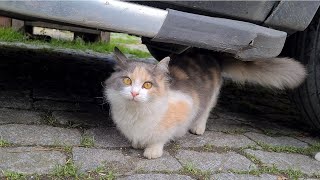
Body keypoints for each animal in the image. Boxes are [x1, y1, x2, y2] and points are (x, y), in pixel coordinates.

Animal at [104, 46, 306, 159]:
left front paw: (152, 150)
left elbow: (161, 137)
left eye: (147, 85)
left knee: (206, 111)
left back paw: (198, 128)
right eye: (127, 81)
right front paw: (138, 143)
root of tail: (210, 54)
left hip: (212, 95)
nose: (134, 93)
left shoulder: (186, 104)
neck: (136, 112)